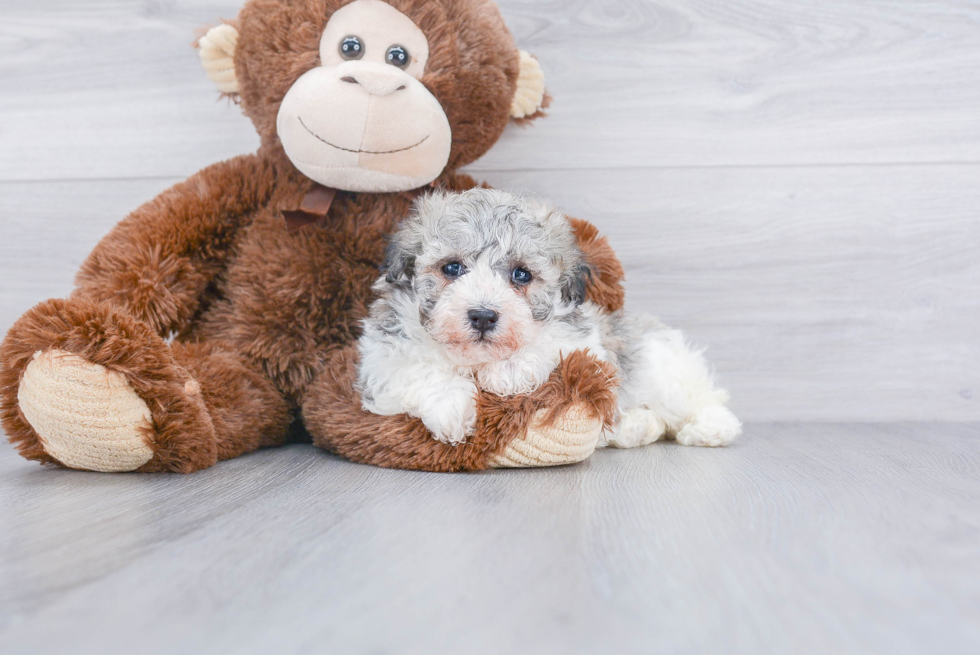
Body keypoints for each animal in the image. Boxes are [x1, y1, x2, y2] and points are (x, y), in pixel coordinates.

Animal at [356, 187, 740, 448]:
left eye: (521, 275)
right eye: (451, 268)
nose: (483, 316)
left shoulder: (586, 345)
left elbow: (549, 345)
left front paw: (508, 370)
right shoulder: (382, 358)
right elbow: (417, 368)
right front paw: (450, 407)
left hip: (660, 370)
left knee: (696, 398)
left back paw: (711, 428)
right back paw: (634, 427)